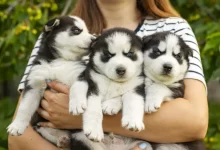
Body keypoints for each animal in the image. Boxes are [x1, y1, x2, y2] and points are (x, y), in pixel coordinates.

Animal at [6, 15, 94, 148]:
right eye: (76, 30)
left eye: (88, 31)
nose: (95, 39)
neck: (60, 60)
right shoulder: (35, 82)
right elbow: (25, 106)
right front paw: (17, 126)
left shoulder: (81, 74)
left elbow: (76, 87)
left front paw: (76, 104)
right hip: (42, 127)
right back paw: (63, 140)